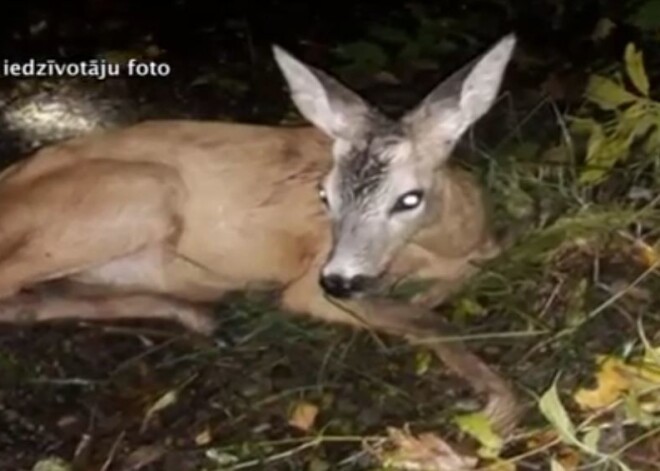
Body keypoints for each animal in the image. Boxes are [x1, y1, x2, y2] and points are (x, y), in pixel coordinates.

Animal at [0, 35, 520, 436]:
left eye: (408, 199)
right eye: (324, 194)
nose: (339, 279)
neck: (453, 242)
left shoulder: (480, 253)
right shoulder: (309, 283)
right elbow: (428, 321)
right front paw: (501, 402)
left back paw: (198, 313)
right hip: (144, 190)